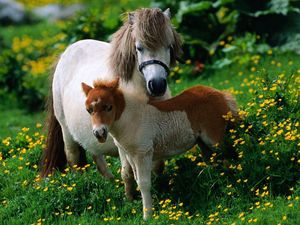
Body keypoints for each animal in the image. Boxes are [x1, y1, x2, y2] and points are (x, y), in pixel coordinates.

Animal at [40, 7, 182, 178]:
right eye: (139, 48)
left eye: (169, 46)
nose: (157, 85)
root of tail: (64, 54)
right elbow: (129, 171)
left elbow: (158, 166)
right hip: (66, 130)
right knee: (73, 157)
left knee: (96, 154)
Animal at [82, 78, 237, 220]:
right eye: (89, 110)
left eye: (109, 107)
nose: (99, 133)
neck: (131, 119)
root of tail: (220, 93)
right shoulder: (130, 154)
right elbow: (134, 178)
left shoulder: (143, 153)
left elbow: (144, 183)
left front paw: (147, 216)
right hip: (203, 142)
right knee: (213, 160)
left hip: (214, 139)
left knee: (230, 155)